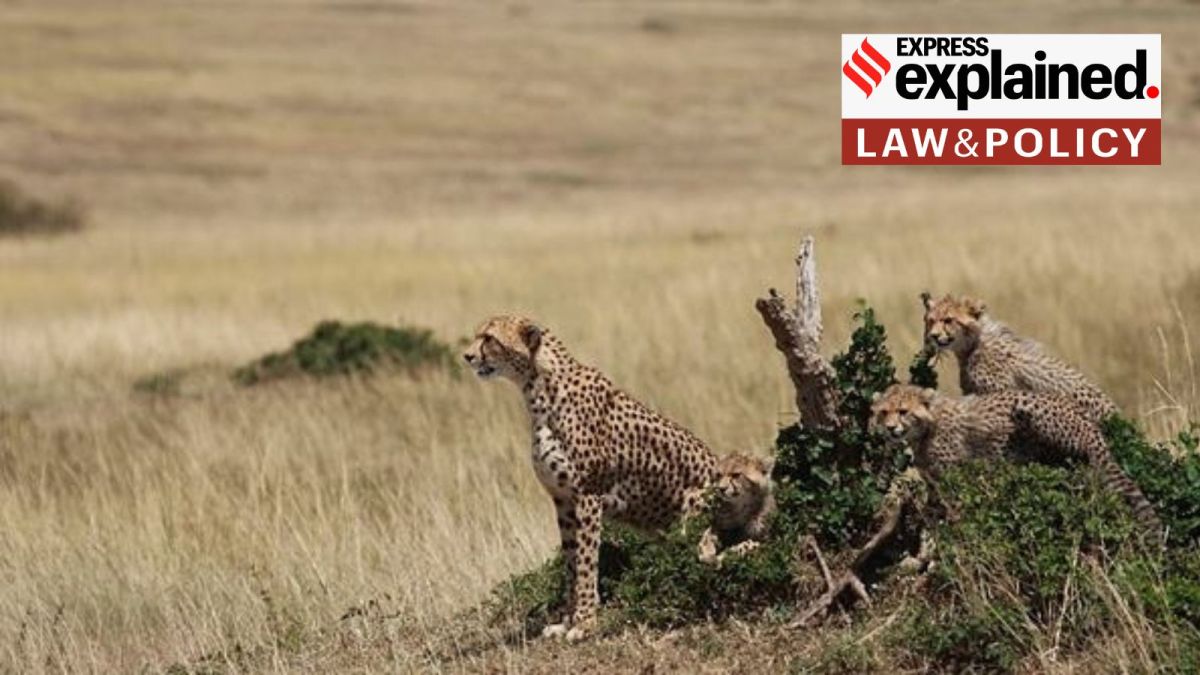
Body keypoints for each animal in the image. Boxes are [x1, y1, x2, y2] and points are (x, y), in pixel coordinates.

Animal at [464, 315, 718, 642]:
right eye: (478, 335)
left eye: (489, 338)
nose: (467, 356)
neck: (539, 389)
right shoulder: (562, 500)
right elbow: (571, 562)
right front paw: (566, 620)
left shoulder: (587, 496)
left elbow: (586, 562)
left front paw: (584, 623)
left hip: (695, 507)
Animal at [870, 384, 1162, 541]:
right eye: (884, 412)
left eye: (903, 412)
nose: (891, 429)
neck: (926, 428)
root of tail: (1092, 427)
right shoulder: (934, 480)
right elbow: (933, 503)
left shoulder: (955, 474)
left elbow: (955, 505)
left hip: (1028, 405)